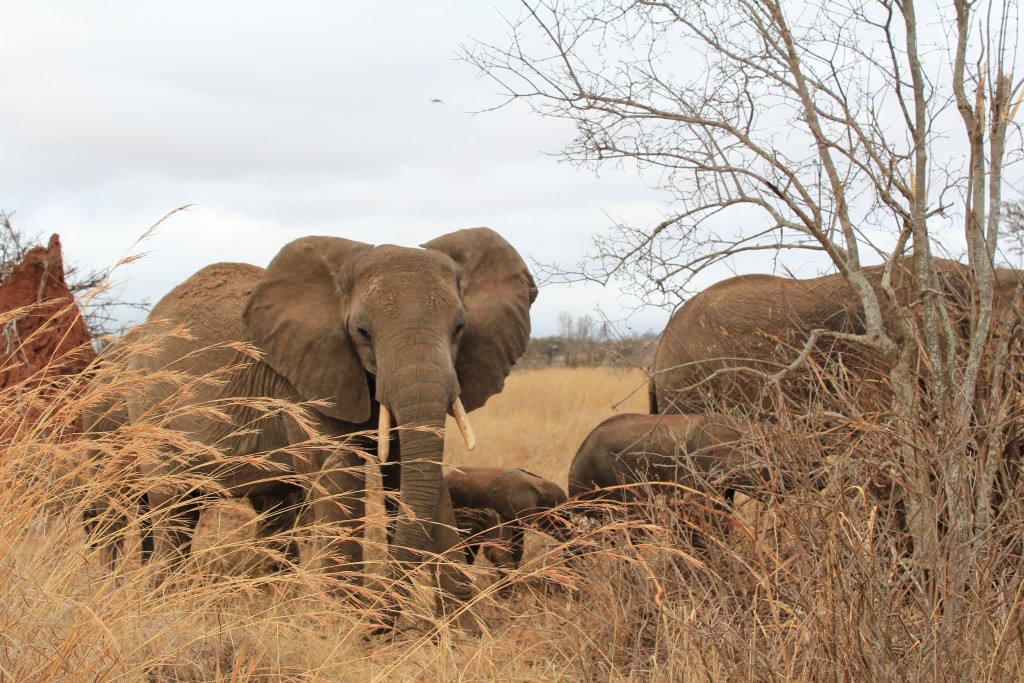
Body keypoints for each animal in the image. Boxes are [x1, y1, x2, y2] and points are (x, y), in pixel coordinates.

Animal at [118, 225, 536, 618]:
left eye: (460, 328)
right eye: (362, 332)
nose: (382, 618)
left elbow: (409, 472)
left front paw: (461, 625)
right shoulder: (302, 380)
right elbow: (340, 477)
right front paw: (350, 626)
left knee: (270, 508)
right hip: (153, 415)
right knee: (173, 505)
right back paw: (166, 601)